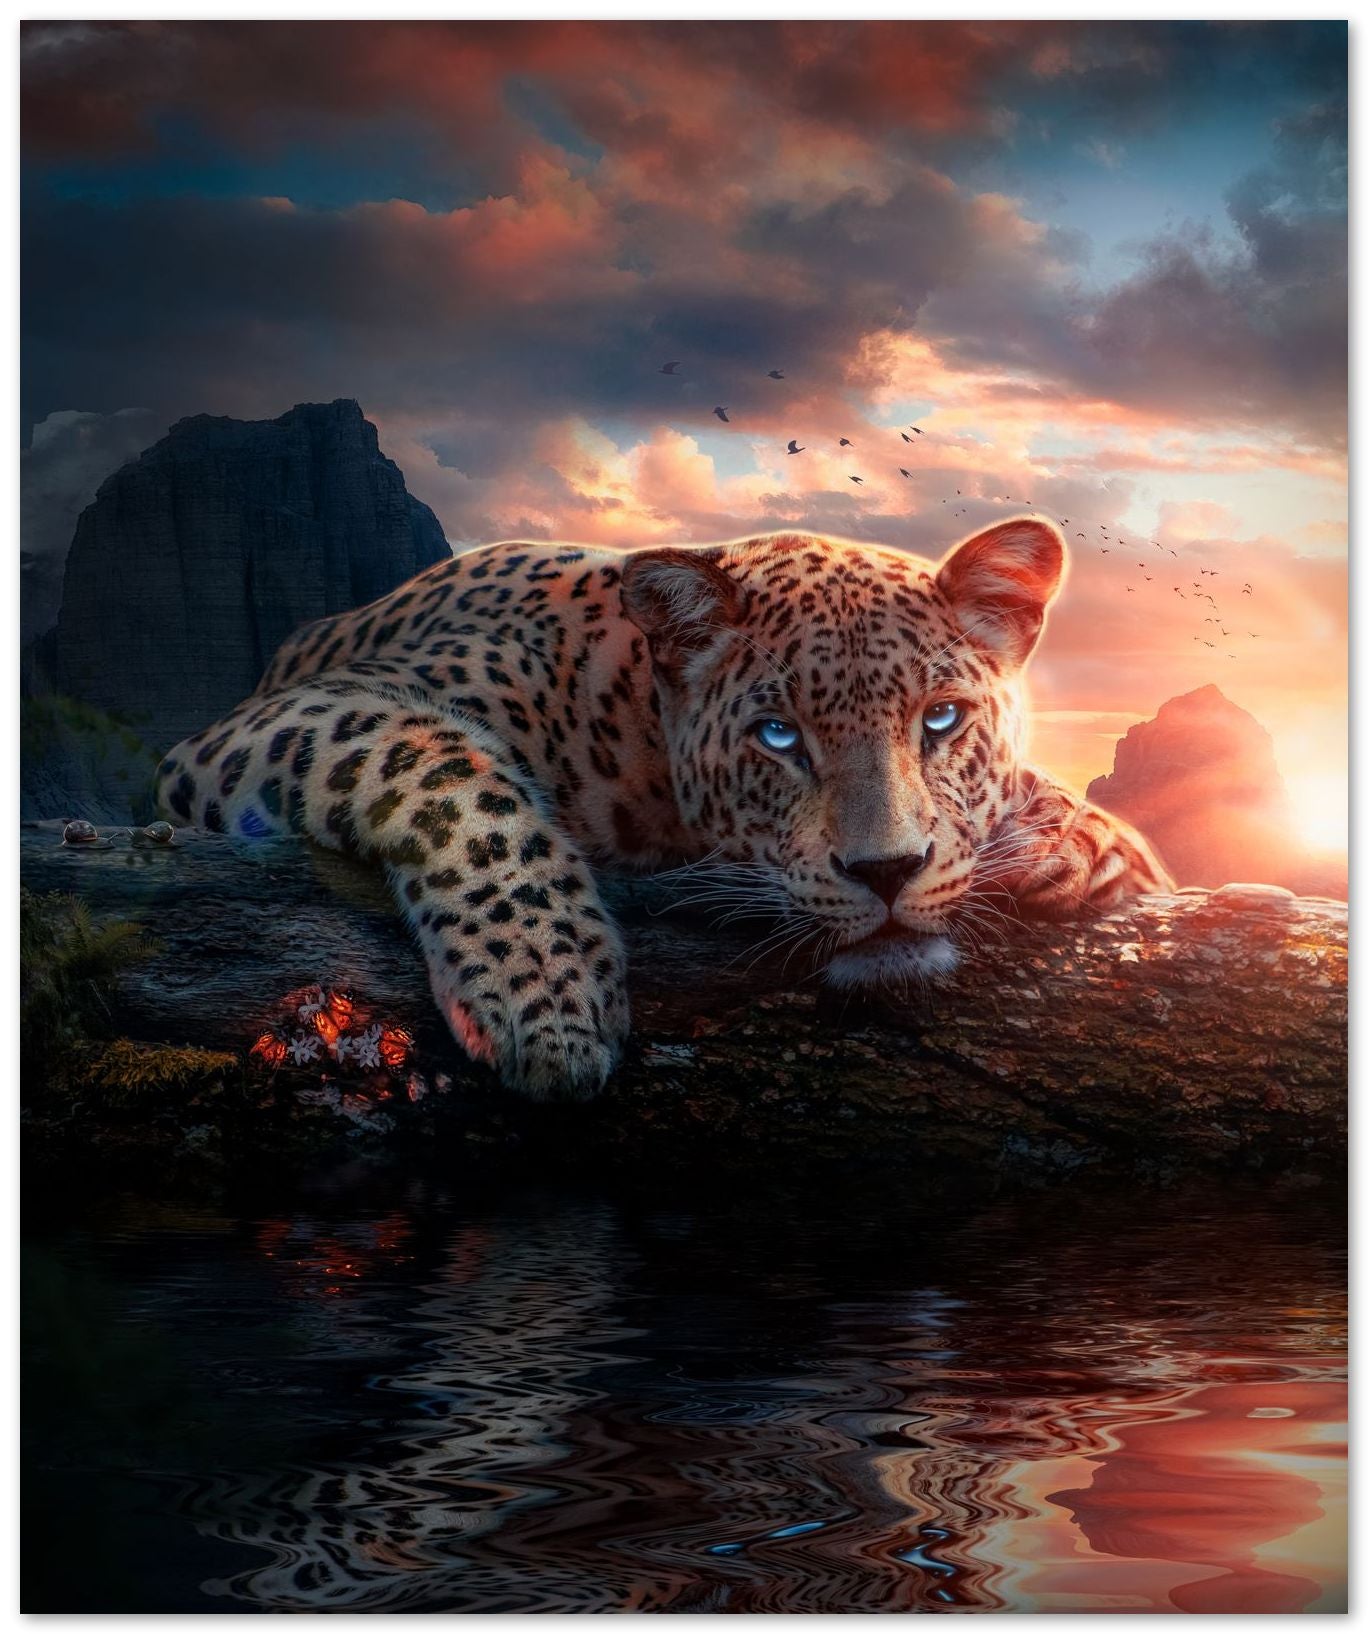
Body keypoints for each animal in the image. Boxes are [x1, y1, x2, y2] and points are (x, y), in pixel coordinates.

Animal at [155, 518, 1170, 1099]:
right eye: (777, 736)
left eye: (942, 719)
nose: (885, 871)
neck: (634, 727)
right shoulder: (278, 721)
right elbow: (444, 771)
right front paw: (548, 990)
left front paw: (1082, 839)